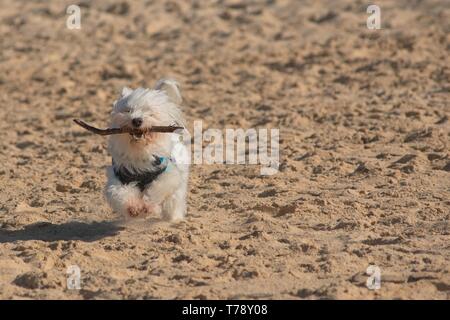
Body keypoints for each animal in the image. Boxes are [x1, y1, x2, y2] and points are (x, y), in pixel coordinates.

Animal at [105, 79, 188, 221]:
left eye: (149, 111)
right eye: (128, 110)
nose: (136, 120)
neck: (140, 149)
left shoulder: (167, 175)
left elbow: (156, 190)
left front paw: (148, 206)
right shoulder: (120, 177)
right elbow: (120, 193)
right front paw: (133, 208)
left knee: (174, 200)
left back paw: (173, 218)